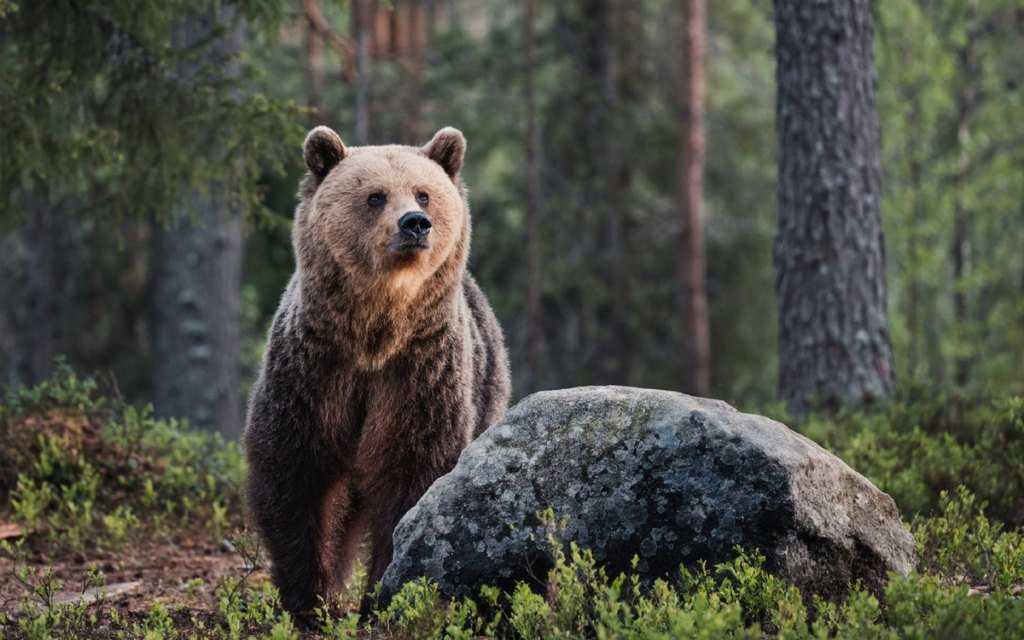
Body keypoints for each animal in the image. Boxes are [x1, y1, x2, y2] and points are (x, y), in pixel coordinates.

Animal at [243, 125, 507, 614]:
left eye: (423, 194)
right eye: (375, 196)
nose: (415, 224)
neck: (375, 334)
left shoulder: (419, 375)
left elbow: (414, 472)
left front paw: (385, 592)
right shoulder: (314, 371)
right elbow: (294, 472)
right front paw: (309, 596)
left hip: (486, 390)